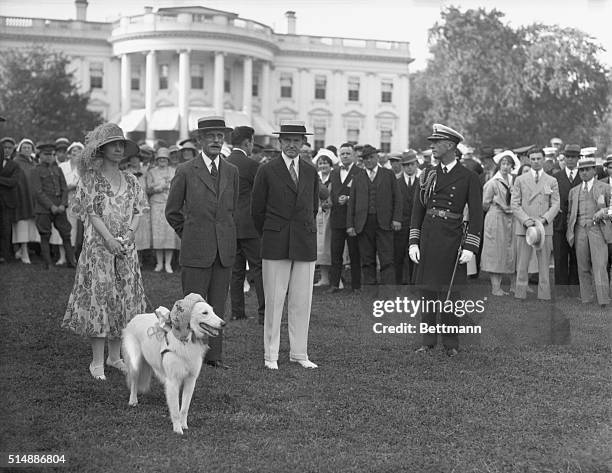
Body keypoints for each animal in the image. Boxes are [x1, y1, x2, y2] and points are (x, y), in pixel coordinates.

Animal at [122, 294, 225, 434]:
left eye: (213, 311)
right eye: (205, 313)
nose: (223, 324)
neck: (185, 340)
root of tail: (135, 318)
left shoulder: (190, 380)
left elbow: (184, 408)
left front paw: (184, 425)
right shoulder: (173, 381)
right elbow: (175, 409)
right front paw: (177, 430)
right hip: (135, 363)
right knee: (133, 383)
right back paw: (133, 401)